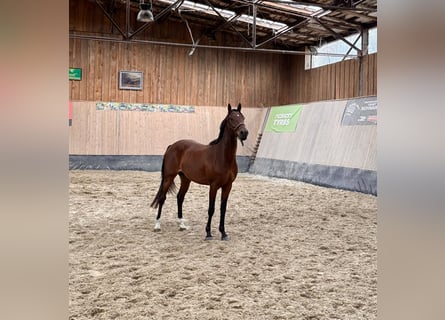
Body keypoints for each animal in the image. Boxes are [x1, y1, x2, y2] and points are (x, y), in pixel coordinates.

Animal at [151, 102, 248, 240]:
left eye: (243, 118)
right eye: (231, 119)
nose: (244, 133)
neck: (222, 156)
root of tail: (172, 146)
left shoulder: (228, 186)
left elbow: (223, 209)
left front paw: (223, 233)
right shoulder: (213, 186)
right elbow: (211, 209)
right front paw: (208, 233)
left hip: (185, 179)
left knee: (180, 197)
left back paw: (182, 225)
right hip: (169, 177)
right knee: (162, 198)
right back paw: (157, 225)